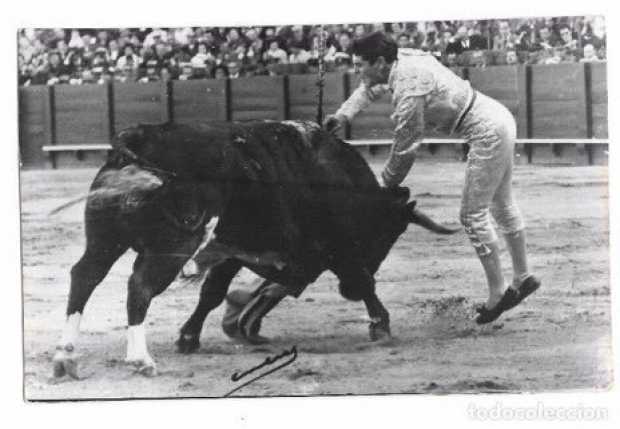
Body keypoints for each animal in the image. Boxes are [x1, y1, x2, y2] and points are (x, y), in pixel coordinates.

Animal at [54, 119, 460, 374]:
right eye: (389, 234)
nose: (343, 291)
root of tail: (138, 138)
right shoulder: (335, 247)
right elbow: (365, 282)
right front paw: (381, 325)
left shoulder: (231, 252)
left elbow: (213, 293)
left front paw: (189, 337)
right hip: (172, 246)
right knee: (138, 286)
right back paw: (140, 360)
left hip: (106, 240)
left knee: (84, 276)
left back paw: (65, 356)